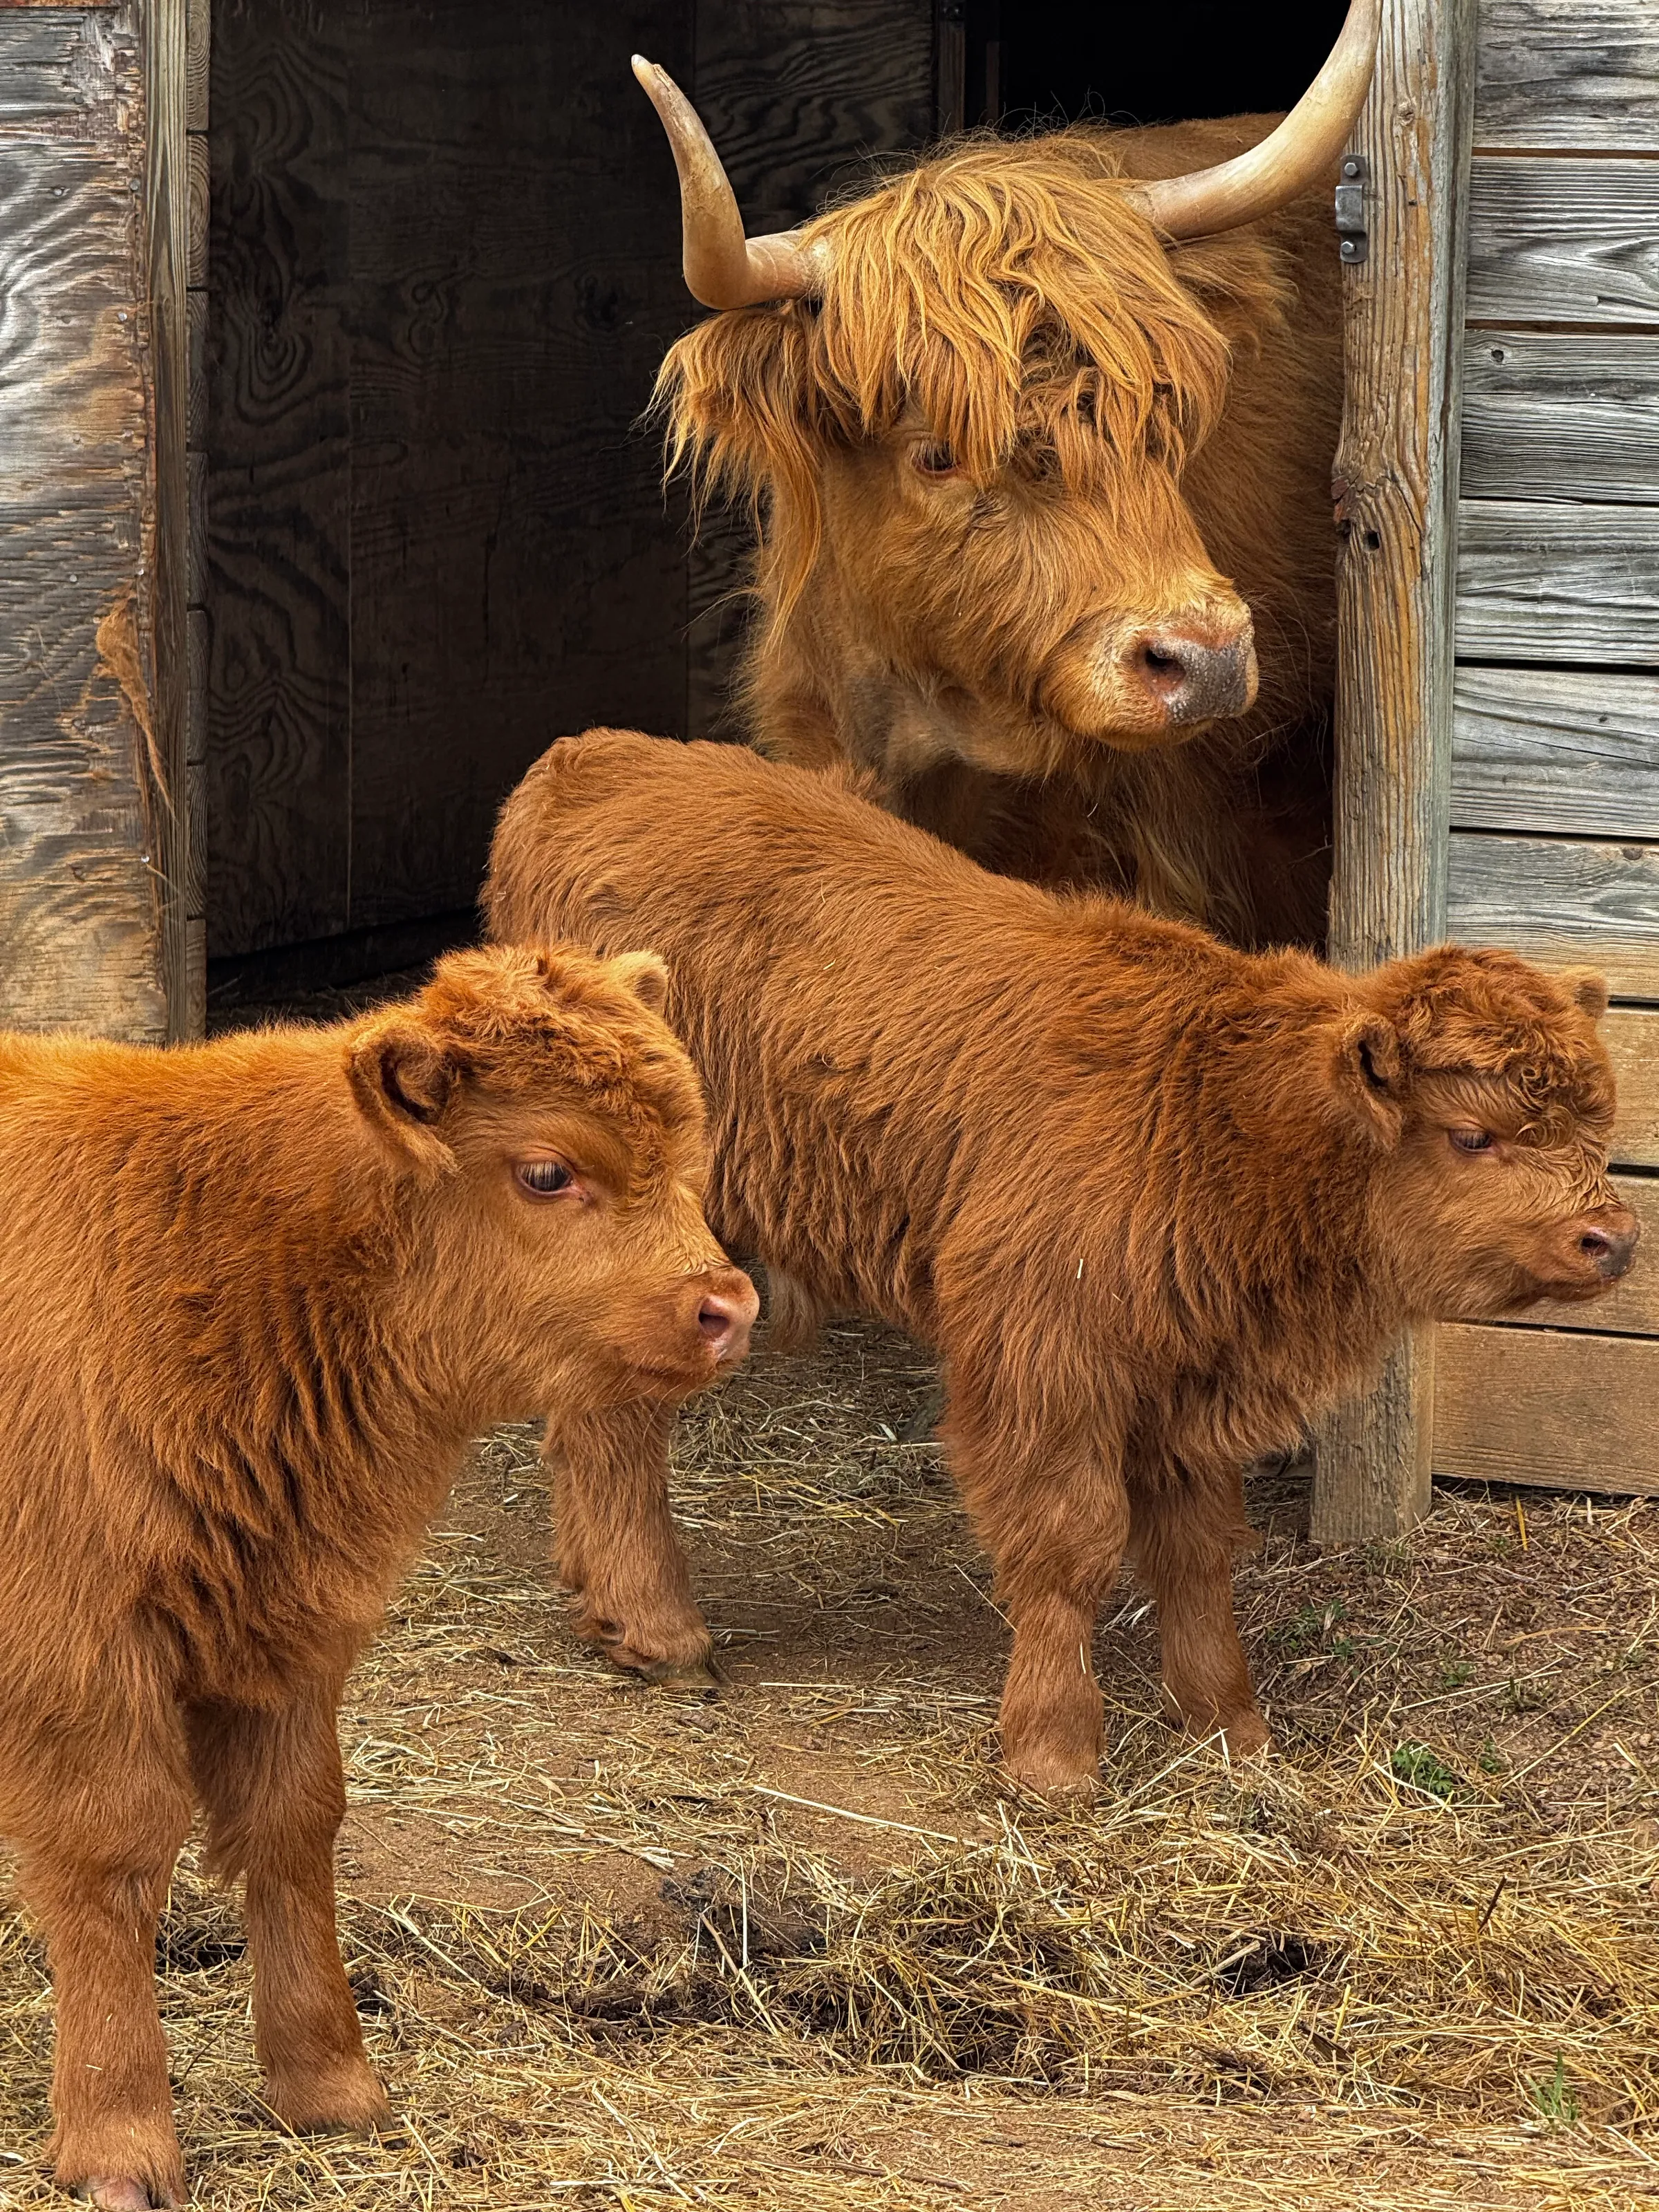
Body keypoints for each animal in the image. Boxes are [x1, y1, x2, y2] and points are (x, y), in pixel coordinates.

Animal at [0, 944, 756, 2210]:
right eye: (547, 1171)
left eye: (688, 1158)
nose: (727, 1307)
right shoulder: (80, 1649)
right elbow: (115, 1863)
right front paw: (119, 2136)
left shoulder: (290, 1626)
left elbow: (295, 1827)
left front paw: (329, 2084)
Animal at [486, 731, 1638, 1799]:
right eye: (1472, 1135)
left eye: (1596, 1120)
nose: (1612, 1239)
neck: (1213, 1109)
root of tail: (585, 760)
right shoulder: (1045, 1367)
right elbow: (1069, 1549)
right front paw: (1053, 1751)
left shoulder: (1188, 1387)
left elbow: (1195, 1554)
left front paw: (1232, 1728)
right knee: (616, 1424)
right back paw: (662, 1632)